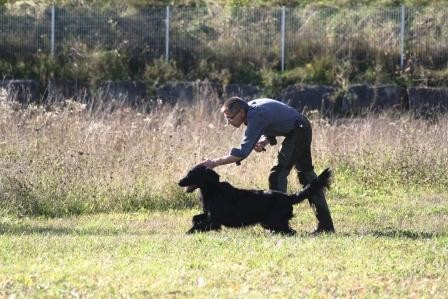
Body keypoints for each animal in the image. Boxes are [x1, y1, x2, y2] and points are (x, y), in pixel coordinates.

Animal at [177, 165, 330, 236]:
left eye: (193, 174)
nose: (179, 182)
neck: (213, 190)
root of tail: (288, 196)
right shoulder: (209, 215)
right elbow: (195, 218)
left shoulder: (215, 220)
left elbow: (198, 226)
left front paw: (187, 233)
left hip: (271, 221)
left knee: (290, 231)